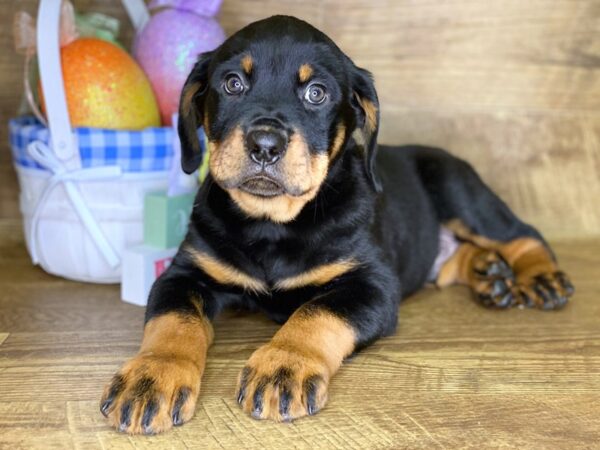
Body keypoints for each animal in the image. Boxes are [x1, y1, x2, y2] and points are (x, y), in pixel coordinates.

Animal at [101, 15, 576, 434]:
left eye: (316, 93)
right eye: (233, 83)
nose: (265, 144)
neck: (273, 224)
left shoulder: (373, 285)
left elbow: (316, 313)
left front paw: (285, 365)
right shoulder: (185, 274)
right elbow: (173, 323)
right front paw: (152, 377)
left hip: (457, 187)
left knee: (521, 234)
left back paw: (538, 276)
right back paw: (489, 274)